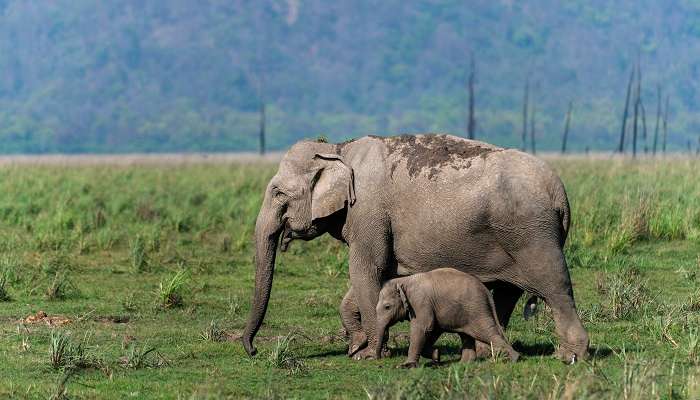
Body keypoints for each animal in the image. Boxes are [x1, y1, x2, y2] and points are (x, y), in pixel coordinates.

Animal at [378, 268, 520, 368]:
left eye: (387, 307)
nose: (380, 357)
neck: (404, 281)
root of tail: (486, 292)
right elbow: (433, 330)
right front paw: (437, 355)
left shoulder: (421, 303)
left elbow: (424, 328)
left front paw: (406, 366)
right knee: (467, 335)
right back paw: (464, 364)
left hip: (476, 309)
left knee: (485, 332)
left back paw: (514, 359)